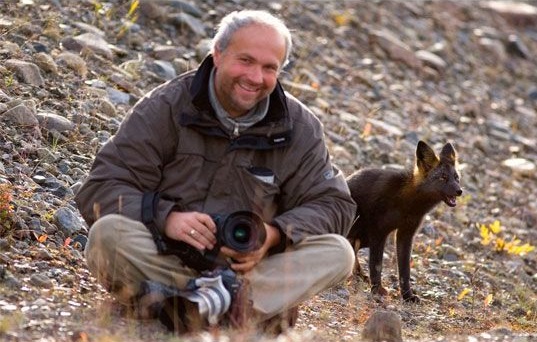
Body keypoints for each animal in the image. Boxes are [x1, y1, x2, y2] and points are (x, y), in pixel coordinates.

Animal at [348, 141, 460, 302]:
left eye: (456, 178)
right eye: (443, 178)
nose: (459, 191)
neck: (407, 204)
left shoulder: (406, 234)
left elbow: (405, 271)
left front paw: (407, 296)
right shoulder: (378, 232)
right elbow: (376, 265)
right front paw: (377, 290)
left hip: (363, 239)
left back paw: (358, 275)